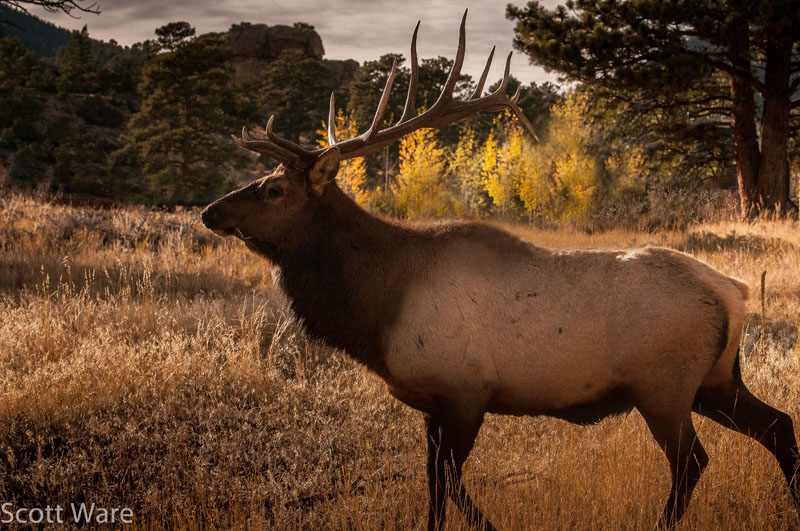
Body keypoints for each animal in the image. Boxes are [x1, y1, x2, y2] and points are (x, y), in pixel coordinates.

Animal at [201, 11, 800, 530]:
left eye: (275, 189)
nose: (210, 212)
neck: (377, 308)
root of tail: (734, 293)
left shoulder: (466, 393)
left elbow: (449, 482)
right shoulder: (433, 405)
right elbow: (435, 485)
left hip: (664, 385)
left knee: (693, 461)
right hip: (715, 380)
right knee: (780, 426)